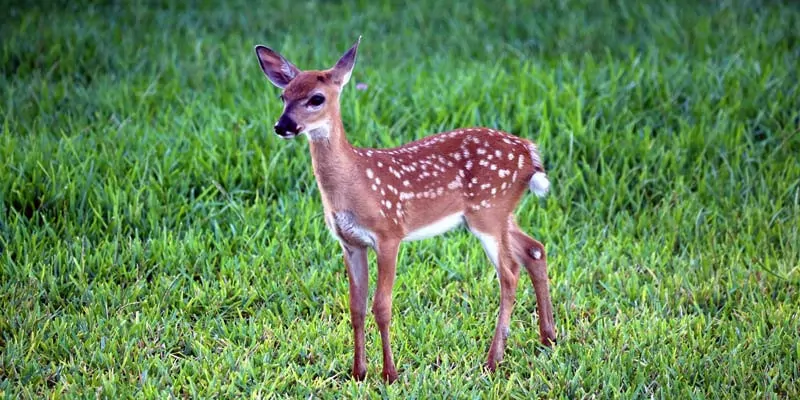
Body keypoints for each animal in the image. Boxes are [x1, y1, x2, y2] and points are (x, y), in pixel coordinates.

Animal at [255, 36, 556, 382]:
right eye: (284, 96)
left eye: (316, 98)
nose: (283, 125)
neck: (354, 183)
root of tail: (529, 152)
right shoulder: (350, 243)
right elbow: (356, 307)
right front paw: (358, 372)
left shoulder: (389, 232)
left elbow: (382, 306)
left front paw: (389, 373)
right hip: (498, 213)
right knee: (534, 249)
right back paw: (548, 337)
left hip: (488, 212)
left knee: (509, 273)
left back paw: (493, 360)